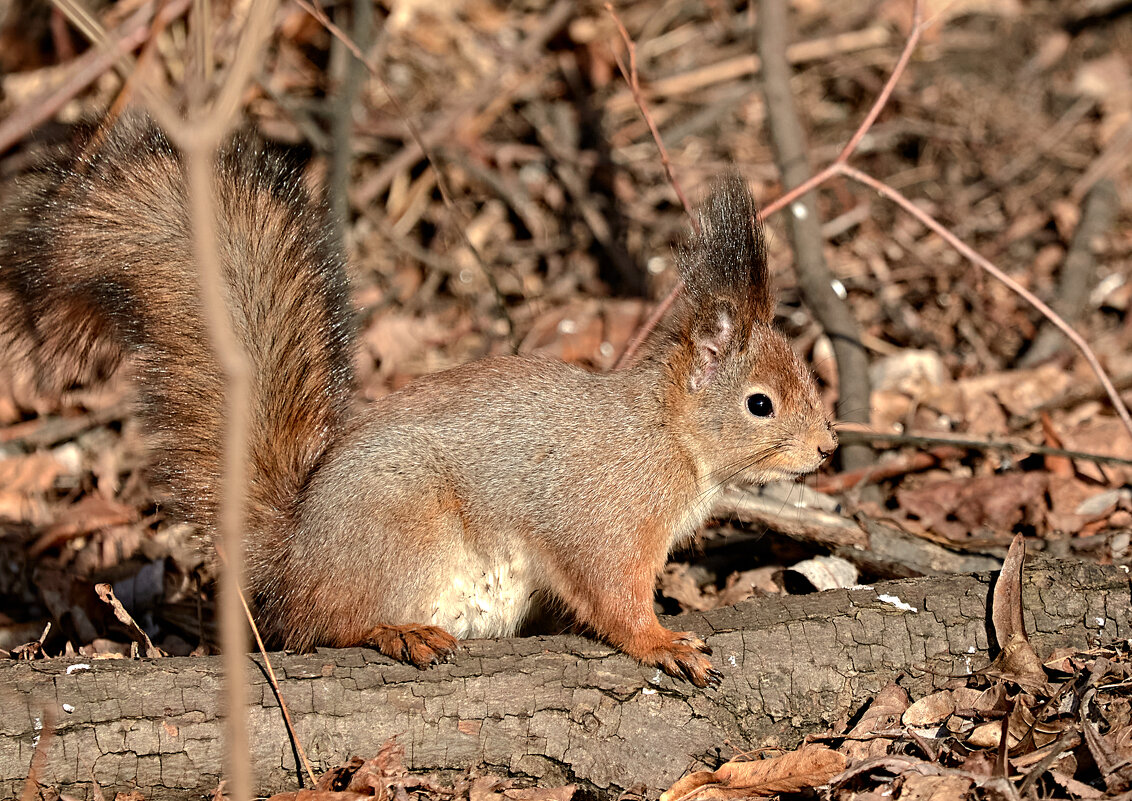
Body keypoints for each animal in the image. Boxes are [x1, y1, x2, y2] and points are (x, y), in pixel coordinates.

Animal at [0, 114, 833, 687]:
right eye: (761, 404)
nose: (827, 447)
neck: (666, 436)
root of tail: (292, 553)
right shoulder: (601, 519)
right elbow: (612, 597)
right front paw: (663, 641)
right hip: (400, 535)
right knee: (321, 624)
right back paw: (396, 632)